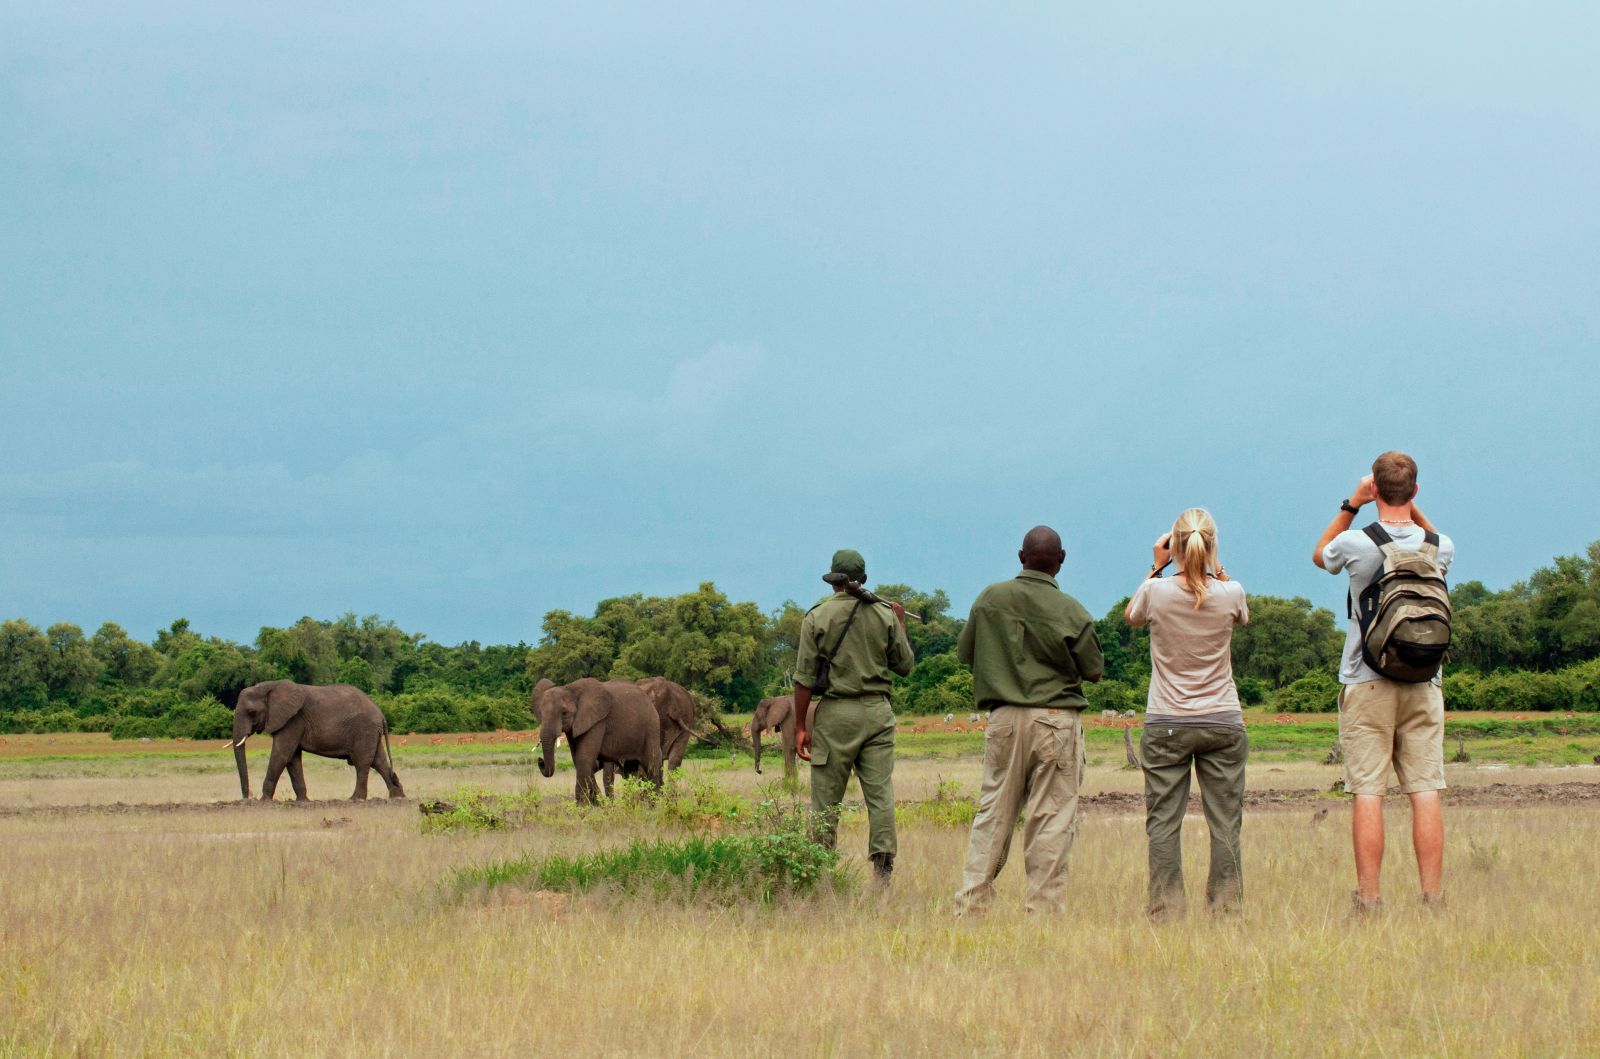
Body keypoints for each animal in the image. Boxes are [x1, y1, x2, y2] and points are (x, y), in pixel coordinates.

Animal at [231, 680, 405, 801]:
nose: (248, 797)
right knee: (379, 761)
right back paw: (398, 797)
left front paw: (263, 801)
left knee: (362, 763)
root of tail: (381, 715)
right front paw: (303, 801)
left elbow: (281, 755)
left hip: (364, 729)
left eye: (251, 712)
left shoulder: (293, 720)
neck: (269, 686)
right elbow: (292, 759)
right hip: (371, 732)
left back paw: (355, 799)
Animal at [532, 677, 663, 805]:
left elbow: (584, 757)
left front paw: (581, 807)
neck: (570, 689)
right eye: (540, 713)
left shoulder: (597, 722)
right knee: (630, 769)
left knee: (651, 765)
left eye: (564, 713)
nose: (540, 760)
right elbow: (577, 758)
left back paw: (654, 805)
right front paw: (595, 804)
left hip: (651, 727)